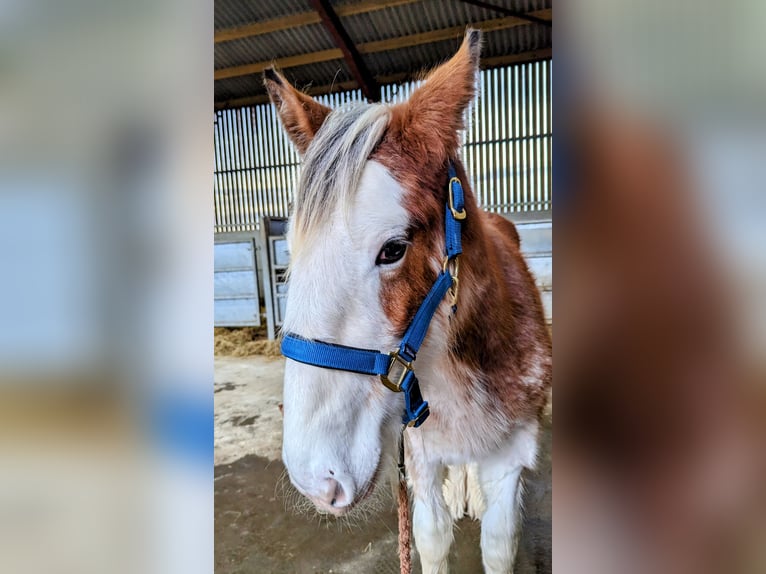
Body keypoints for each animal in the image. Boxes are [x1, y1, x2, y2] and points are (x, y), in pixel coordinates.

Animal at [264, 30, 552, 574]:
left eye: (393, 248)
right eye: (291, 251)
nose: (316, 479)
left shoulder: (510, 460)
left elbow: (499, 544)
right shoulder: (418, 453)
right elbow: (431, 538)